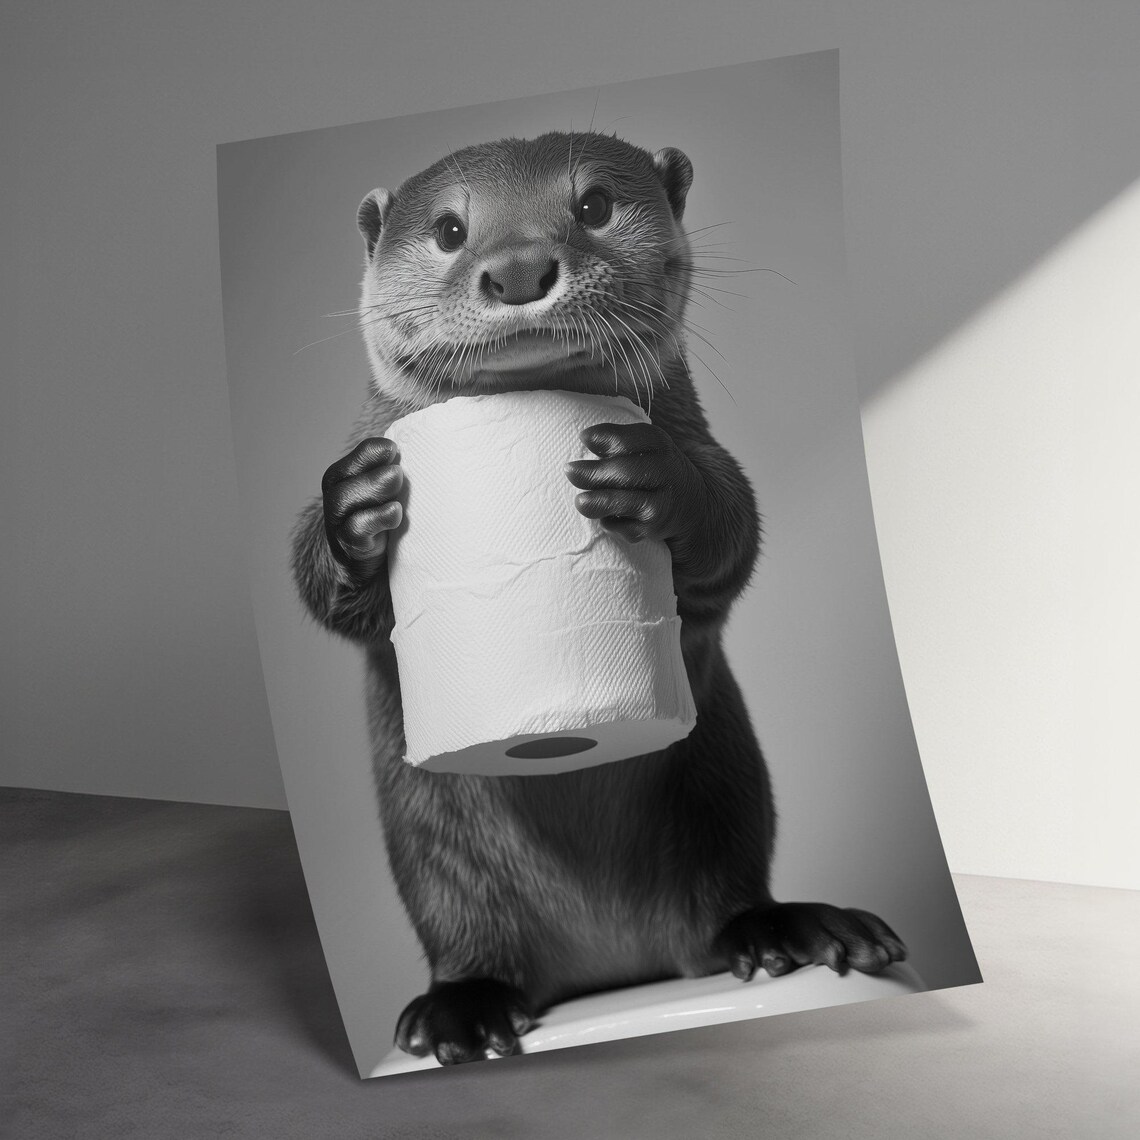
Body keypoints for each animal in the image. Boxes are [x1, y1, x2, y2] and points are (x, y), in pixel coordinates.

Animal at [291, 131, 906, 1066]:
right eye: (449, 229)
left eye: (592, 206)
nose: (516, 267)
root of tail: (609, 965)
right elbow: (329, 597)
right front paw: (352, 505)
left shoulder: (702, 448)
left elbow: (733, 532)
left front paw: (654, 479)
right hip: (439, 855)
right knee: (468, 939)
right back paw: (460, 1012)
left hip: (720, 795)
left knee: (728, 900)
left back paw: (795, 930)